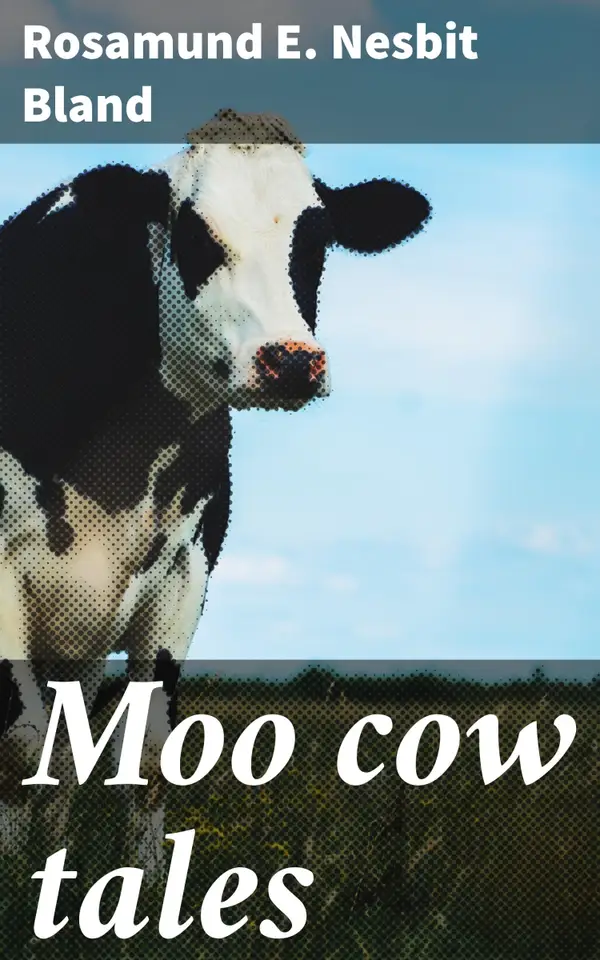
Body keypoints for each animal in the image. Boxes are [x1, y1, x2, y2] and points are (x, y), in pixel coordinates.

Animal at [0, 108, 432, 869]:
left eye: (316, 239)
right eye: (194, 233)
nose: (292, 362)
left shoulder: (184, 571)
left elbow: (145, 759)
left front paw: (141, 889)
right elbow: (18, 749)